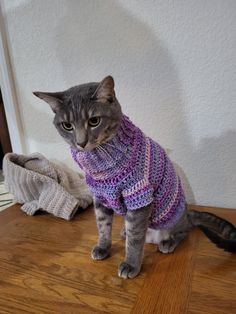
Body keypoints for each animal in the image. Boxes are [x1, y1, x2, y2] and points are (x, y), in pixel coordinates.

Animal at [33, 76, 236, 280]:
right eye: (67, 125)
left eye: (94, 121)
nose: (81, 143)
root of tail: (187, 212)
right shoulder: (100, 196)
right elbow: (102, 225)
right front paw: (103, 247)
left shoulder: (138, 195)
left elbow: (135, 238)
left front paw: (131, 264)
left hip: (172, 218)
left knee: (184, 230)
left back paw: (168, 242)